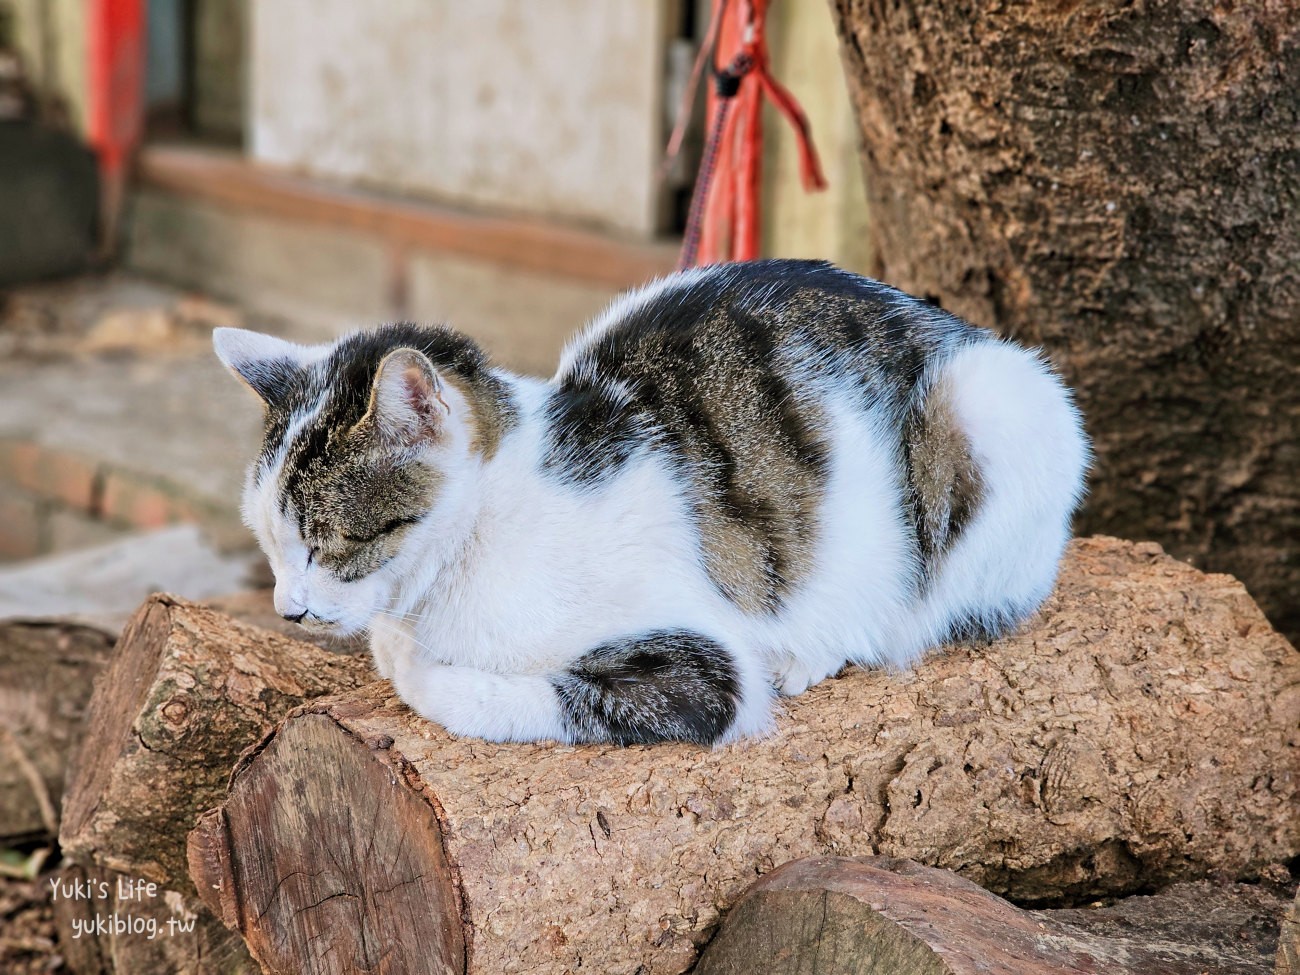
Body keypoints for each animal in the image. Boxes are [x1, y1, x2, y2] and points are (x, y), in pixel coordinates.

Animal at [213, 257, 1086, 748]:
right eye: (269, 545)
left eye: (328, 541)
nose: (289, 608)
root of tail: (967, 332)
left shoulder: (702, 665)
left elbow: (486, 690)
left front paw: (414, 663)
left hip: (988, 404)